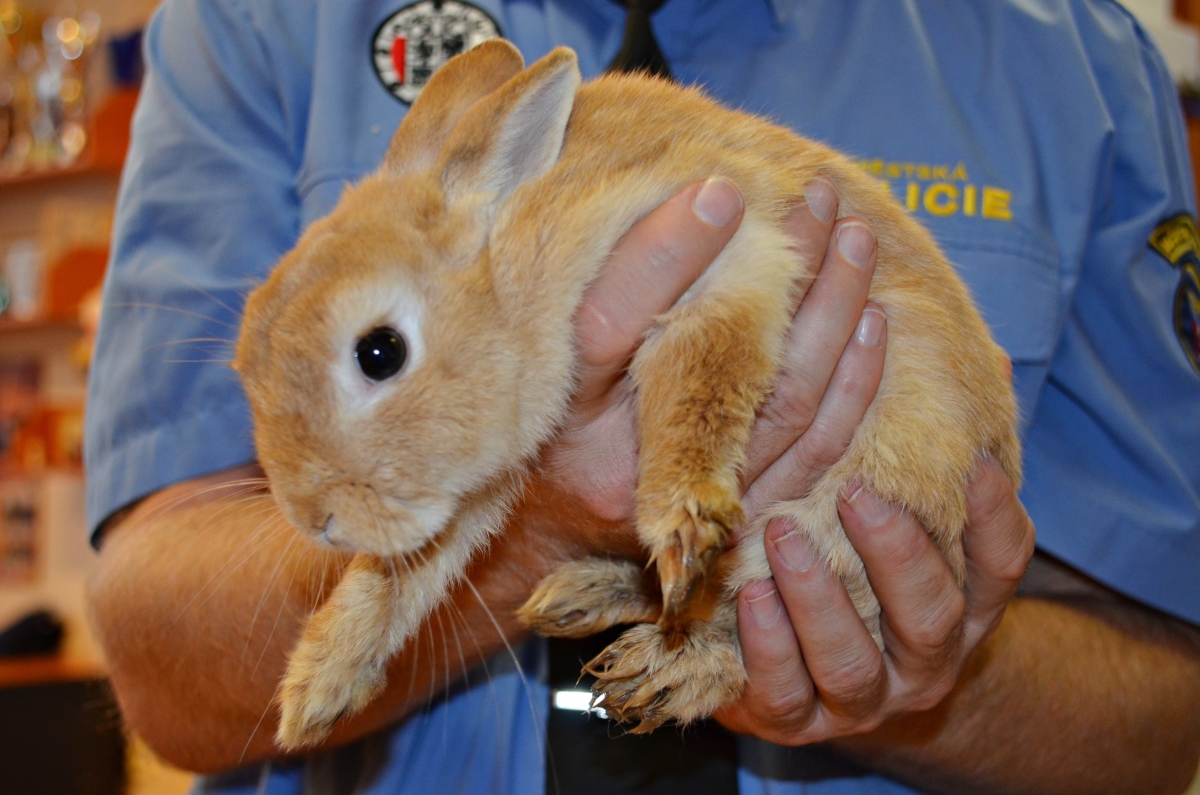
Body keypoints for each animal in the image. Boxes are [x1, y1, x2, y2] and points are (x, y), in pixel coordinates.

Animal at [236, 40, 1022, 754]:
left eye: (380, 352)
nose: (316, 521)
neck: (518, 242)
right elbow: (402, 576)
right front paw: (316, 689)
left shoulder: (726, 253)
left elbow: (699, 389)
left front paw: (683, 528)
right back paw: (579, 597)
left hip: (844, 526)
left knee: (766, 624)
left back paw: (666, 669)